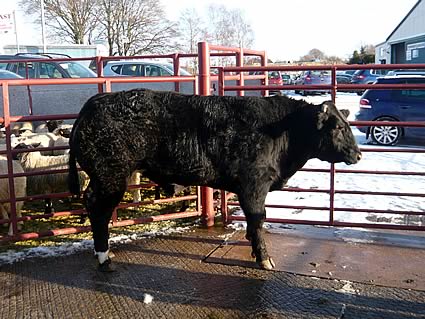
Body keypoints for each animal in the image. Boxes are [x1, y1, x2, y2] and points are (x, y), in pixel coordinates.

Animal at [68, 89, 362, 272]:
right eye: (337, 127)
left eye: (347, 124)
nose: (358, 154)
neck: (282, 131)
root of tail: (95, 102)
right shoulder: (254, 186)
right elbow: (259, 219)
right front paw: (264, 258)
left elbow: (253, 222)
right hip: (110, 177)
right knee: (98, 210)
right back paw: (104, 258)